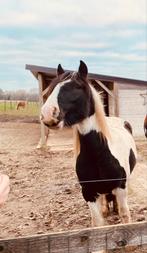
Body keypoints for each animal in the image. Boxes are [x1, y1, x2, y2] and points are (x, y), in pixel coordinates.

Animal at [41, 60, 137, 251]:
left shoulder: (121, 187)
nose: (48, 113)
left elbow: (125, 216)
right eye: (53, 87)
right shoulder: (88, 192)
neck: (99, 154)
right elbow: (98, 224)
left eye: (77, 87)